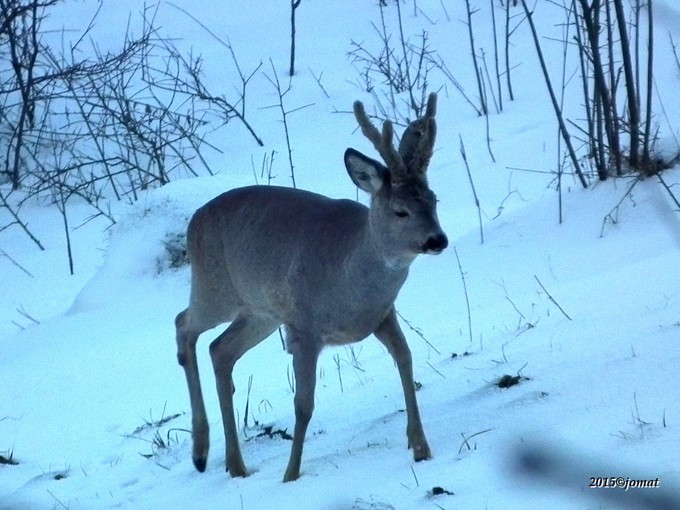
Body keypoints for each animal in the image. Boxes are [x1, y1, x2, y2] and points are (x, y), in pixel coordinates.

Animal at [175, 92, 448, 482]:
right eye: (400, 211)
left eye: (433, 200)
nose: (437, 240)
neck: (350, 276)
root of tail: (193, 221)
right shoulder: (305, 328)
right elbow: (303, 404)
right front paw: (290, 475)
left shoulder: (382, 315)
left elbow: (406, 360)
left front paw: (421, 447)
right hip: (215, 289)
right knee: (184, 324)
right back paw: (201, 452)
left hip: (261, 313)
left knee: (220, 350)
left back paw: (234, 465)